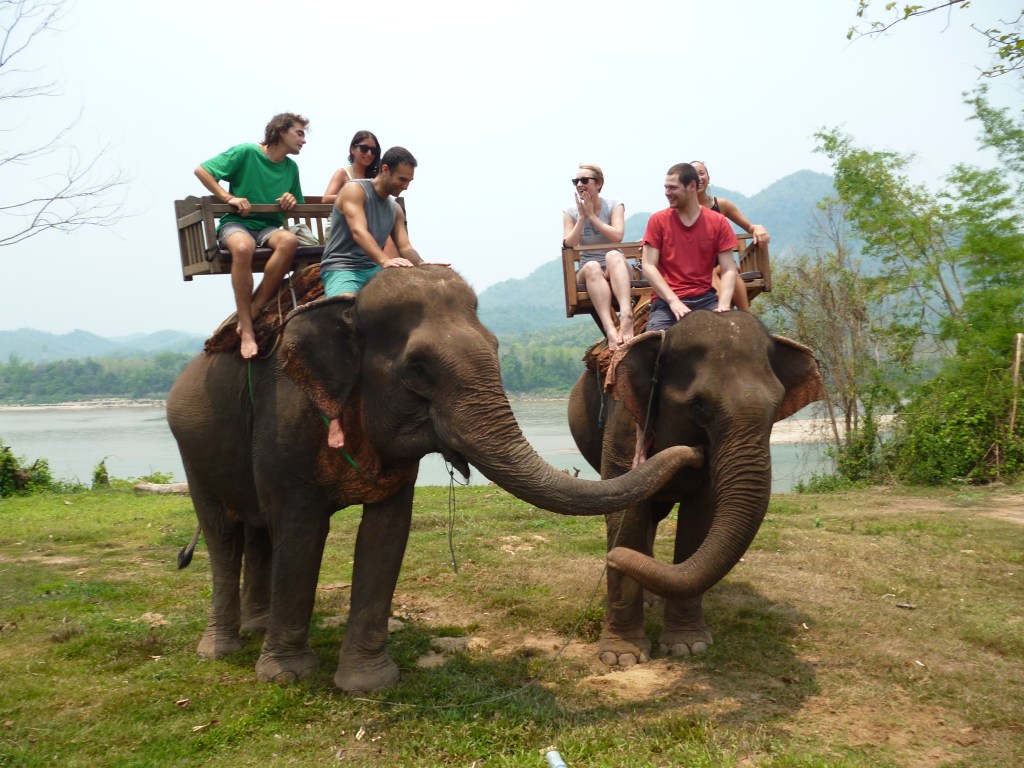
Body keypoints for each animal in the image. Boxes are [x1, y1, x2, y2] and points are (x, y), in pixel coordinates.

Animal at [166, 265, 701, 692]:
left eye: (497, 349)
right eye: (418, 368)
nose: (693, 452)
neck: (349, 310)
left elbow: (386, 534)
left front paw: (367, 684)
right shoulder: (287, 420)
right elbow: (300, 532)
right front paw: (287, 677)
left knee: (257, 532)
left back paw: (256, 629)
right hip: (191, 450)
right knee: (223, 535)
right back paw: (222, 649)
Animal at [567, 309, 825, 666]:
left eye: (776, 408)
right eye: (699, 406)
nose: (698, 453)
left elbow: (699, 519)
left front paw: (688, 646)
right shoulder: (624, 427)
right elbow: (625, 516)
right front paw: (622, 657)